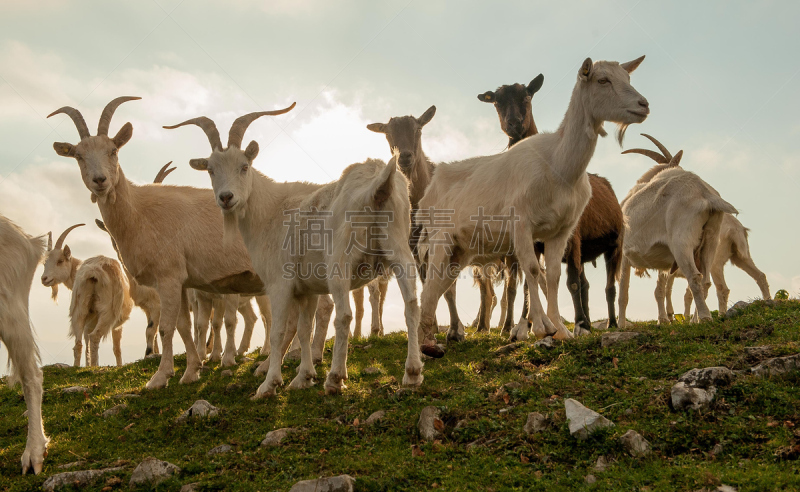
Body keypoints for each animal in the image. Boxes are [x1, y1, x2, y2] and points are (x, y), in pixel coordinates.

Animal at [51, 97, 274, 388]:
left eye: (113, 150)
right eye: (78, 155)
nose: (100, 181)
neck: (140, 211)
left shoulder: (168, 277)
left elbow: (167, 327)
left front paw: (160, 377)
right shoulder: (182, 282)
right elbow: (184, 326)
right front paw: (191, 371)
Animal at [165, 104, 422, 396]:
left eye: (244, 166)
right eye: (210, 170)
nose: (226, 198)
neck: (270, 211)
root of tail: (379, 182)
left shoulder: (279, 283)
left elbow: (279, 331)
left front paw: (269, 384)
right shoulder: (305, 289)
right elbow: (303, 328)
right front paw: (303, 377)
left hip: (340, 262)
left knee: (344, 315)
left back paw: (335, 378)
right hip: (400, 249)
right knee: (411, 305)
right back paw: (413, 373)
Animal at [416, 55, 648, 344]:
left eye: (627, 78)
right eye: (602, 80)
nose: (643, 105)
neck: (558, 164)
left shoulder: (561, 231)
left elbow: (555, 276)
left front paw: (560, 328)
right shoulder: (522, 225)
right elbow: (533, 271)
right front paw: (539, 326)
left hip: (461, 249)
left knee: (440, 287)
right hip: (440, 239)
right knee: (431, 287)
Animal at [620, 135, 736, 326]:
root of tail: (703, 193)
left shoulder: (623, 254)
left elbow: (623, 291)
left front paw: (619, 325)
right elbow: (659, 288)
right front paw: (663, 320)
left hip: (681, 243)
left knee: (694, 277)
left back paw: (704, 317)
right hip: (711, 240)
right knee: (705, 281)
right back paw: (696, 320)